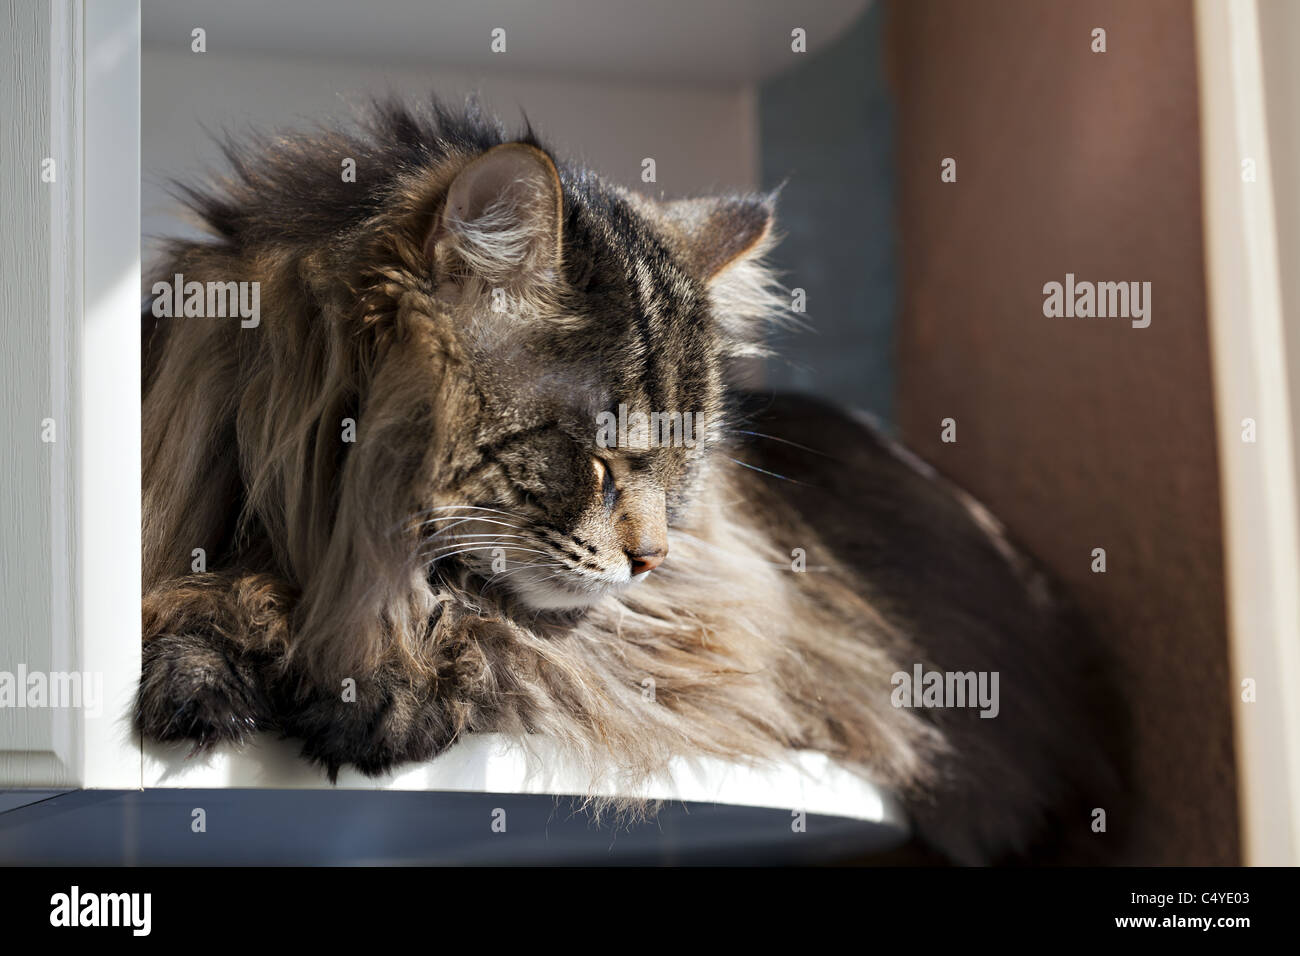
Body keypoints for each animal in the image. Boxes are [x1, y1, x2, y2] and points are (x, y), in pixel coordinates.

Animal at [139, 97, 1118, 868]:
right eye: (597, 456)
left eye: (685, 468)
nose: (652, 557)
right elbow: (206, 588)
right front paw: (201, 667)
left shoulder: (713, 629)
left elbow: (515, 635)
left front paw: (386, 686)